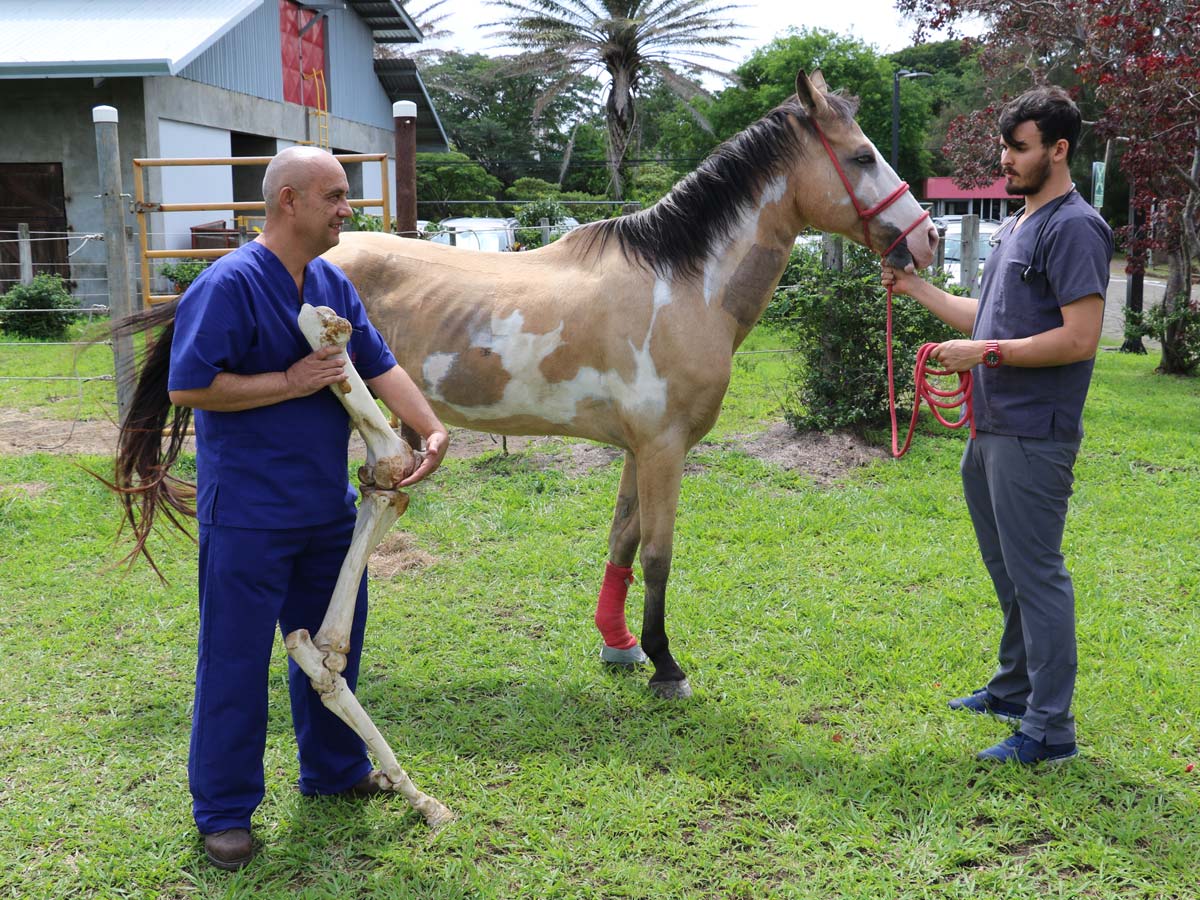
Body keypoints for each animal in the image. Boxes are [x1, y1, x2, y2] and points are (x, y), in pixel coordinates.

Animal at [112, 66, 931, 748]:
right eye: (862, 157)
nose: (924, 241)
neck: (680, 285)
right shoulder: (665, 449)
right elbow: (660, 555)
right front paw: (667, 665)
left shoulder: (640, 449)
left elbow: (623, 540)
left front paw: (618, 645)